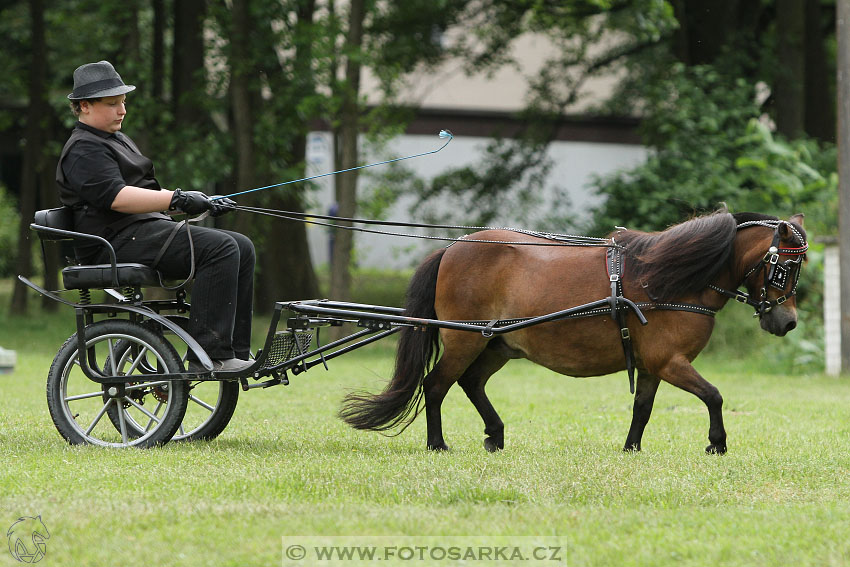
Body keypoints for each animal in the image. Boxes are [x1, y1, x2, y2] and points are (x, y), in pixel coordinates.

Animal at [336, 211, 800, 454]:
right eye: (784, 266)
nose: (788, 322)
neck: (669, 281)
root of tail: (454, 247)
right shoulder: (670, 361)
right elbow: (714, 395)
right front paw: (717, 444)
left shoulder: (654, 365)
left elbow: (643, 409)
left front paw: (631, 449)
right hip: (464, 339)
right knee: (435, 386)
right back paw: (438, 444)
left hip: (497, 344)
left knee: (470, 383)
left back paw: (495, 435)